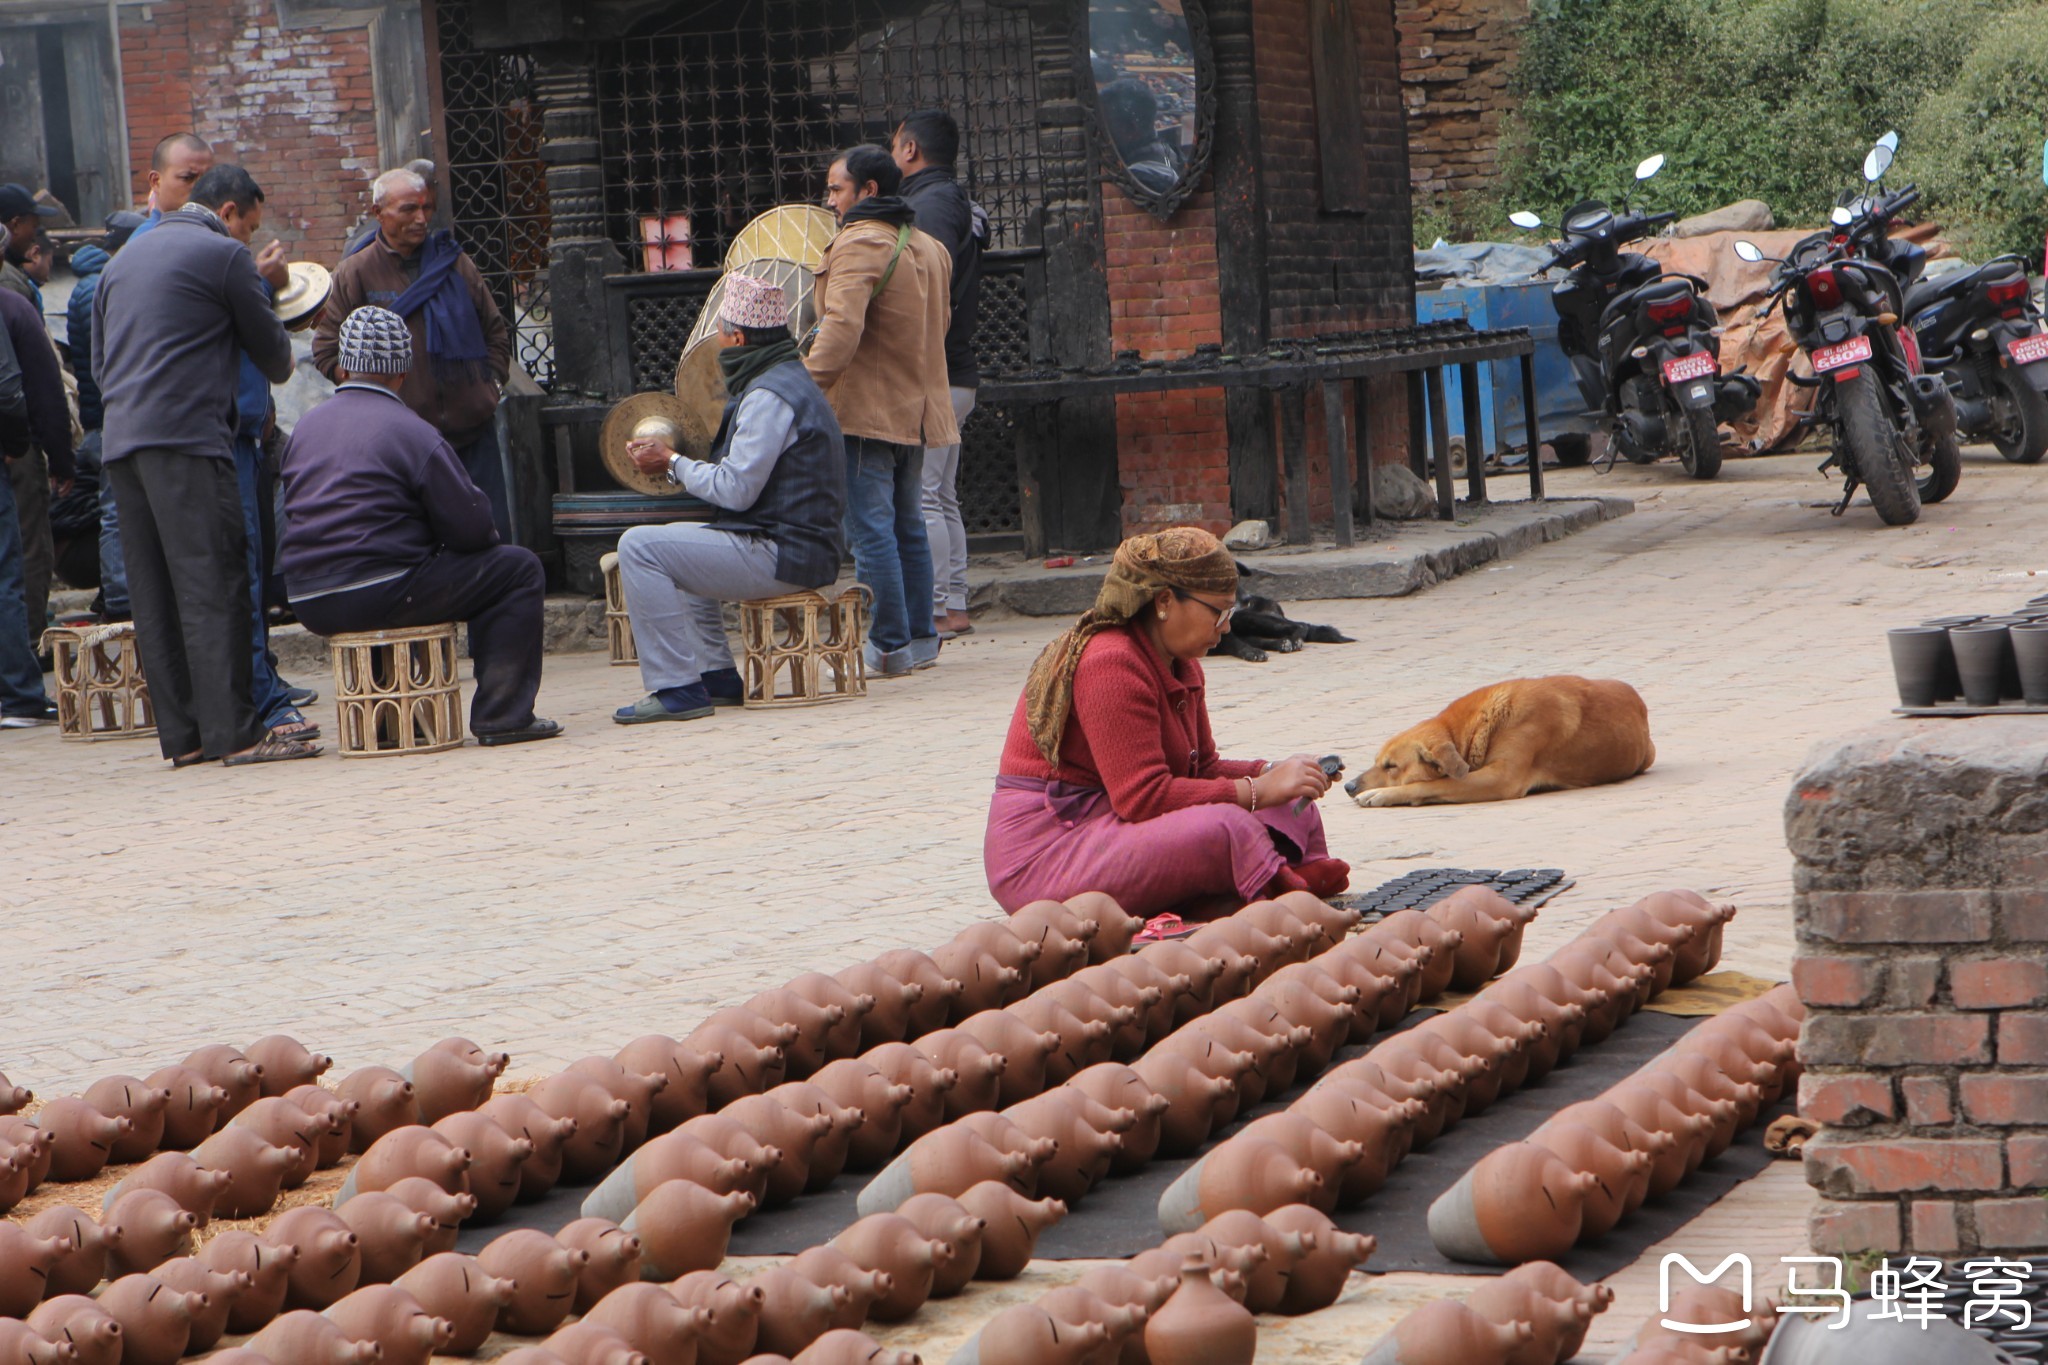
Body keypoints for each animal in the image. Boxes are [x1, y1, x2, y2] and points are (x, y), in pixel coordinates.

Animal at [1204, 568, 1351, 663]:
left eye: (1238, 578)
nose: (1247, 599)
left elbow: (1235, 644)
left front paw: (1251, 653)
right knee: (1260, 640)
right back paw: (1283, 644)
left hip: (1249, 619)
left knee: (1301, 625)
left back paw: (1294, 641)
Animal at [1351, 675, 1654, 806]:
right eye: (1376, 761)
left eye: (1391, 766)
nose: (1348, 786)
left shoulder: (1500, 779)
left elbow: (1430, 784)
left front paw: (1382, 794)